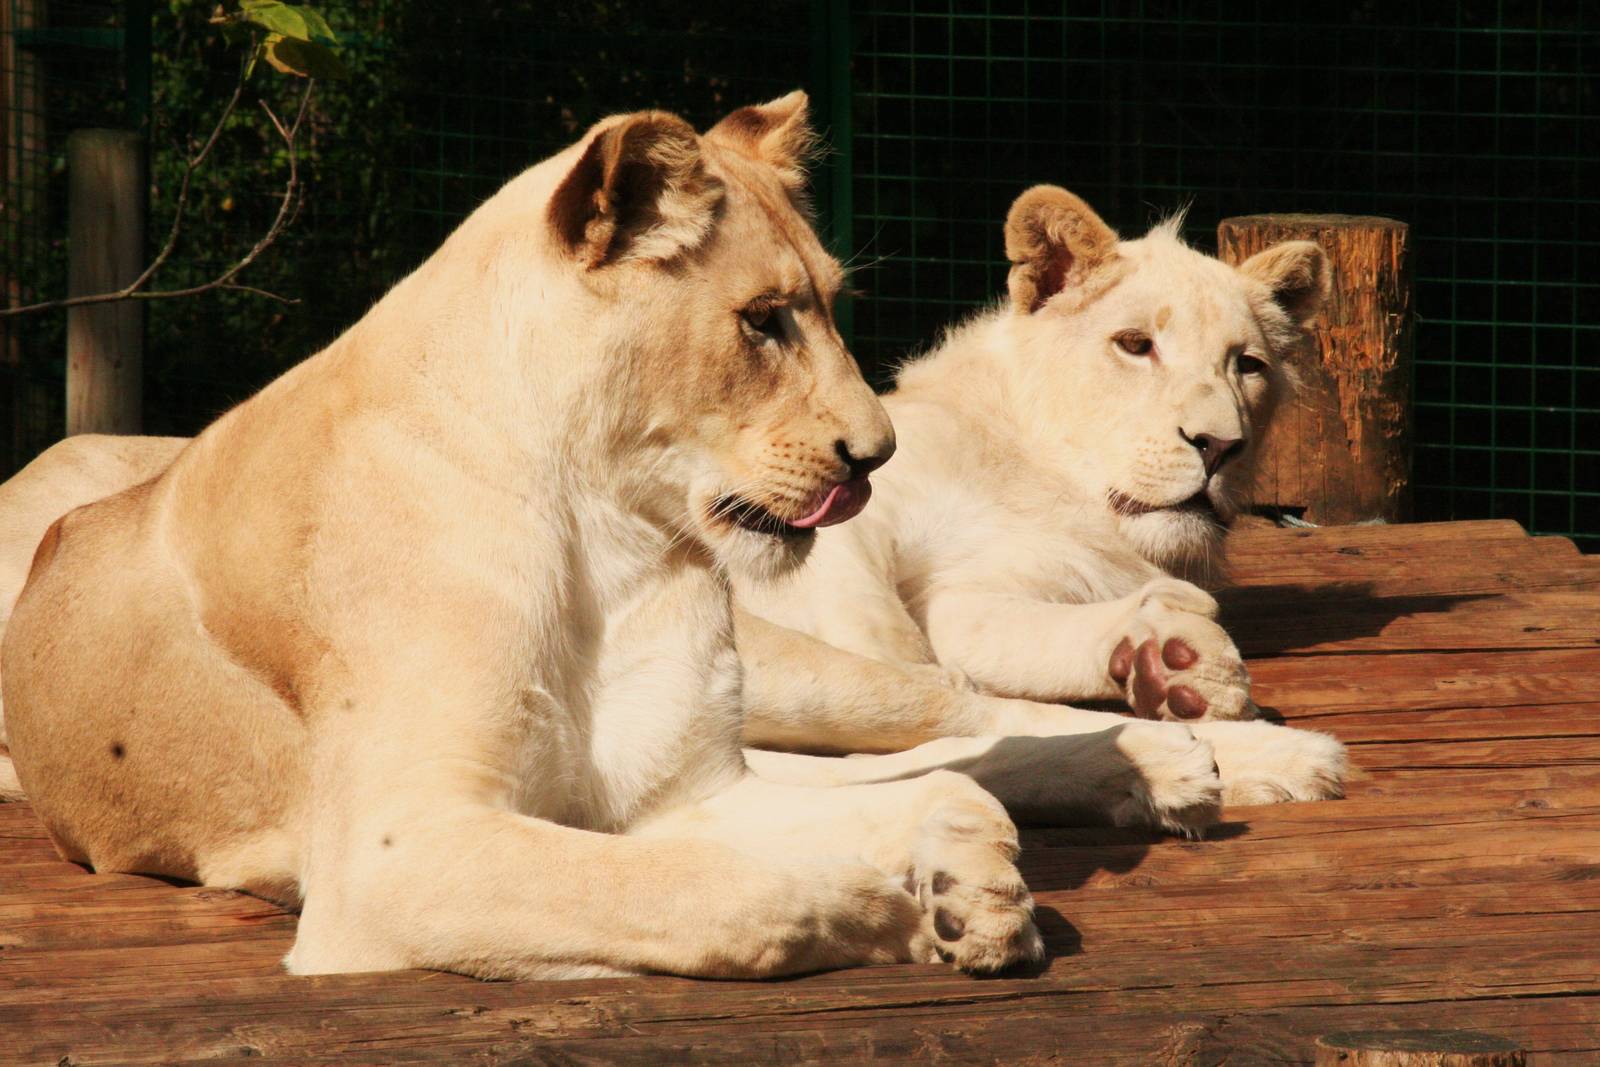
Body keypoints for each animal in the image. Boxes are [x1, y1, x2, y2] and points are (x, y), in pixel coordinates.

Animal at [2, 94, 1060, 979]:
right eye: (764, 321)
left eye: (832, 307)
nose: (878, 455)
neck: (605, 528)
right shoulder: (394, 853)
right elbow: (718, 893)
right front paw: (901, 913)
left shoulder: (684, 793)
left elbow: (931, 796)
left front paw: (973, 882)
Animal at [731, 186, 1348, 826]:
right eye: (1135, 345)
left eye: (1248, 365)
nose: (1220, 445)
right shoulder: (825, 506)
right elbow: (881, 615)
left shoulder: (986, 592)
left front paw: (1160, 660)